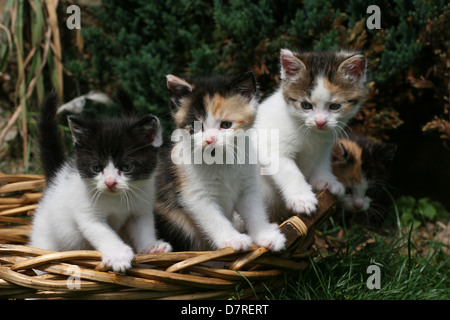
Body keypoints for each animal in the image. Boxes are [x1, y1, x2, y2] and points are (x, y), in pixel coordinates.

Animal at [29, 93, 171, 272]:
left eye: (126, 167)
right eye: (96, 168)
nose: (110, 182)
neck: (116, 199)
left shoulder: (141, 209)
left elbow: (144, 228)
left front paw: (151, 247)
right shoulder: (88, 214)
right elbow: (104, 232)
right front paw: (119, 255)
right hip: (44, 236)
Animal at [155, 71, 286, 251]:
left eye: (226, 124)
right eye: (195, 126)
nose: (210, 139)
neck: (221, 161)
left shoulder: (247, 186)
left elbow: (255, 211)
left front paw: (265, 235)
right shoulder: (194, 193)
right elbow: (215, 219)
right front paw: (232, 239)